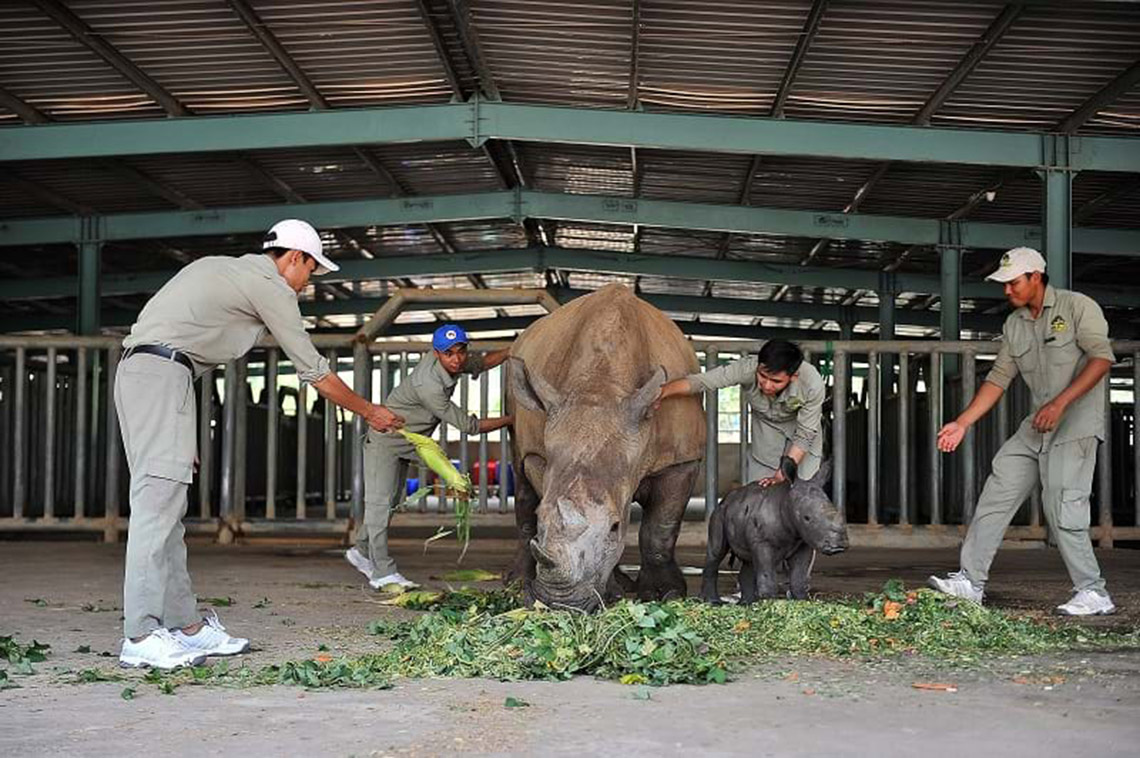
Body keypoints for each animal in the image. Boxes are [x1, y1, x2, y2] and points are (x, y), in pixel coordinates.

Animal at [508, 282, 702, 610]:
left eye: (614, 527)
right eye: (541, 520)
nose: (560, 603)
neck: (601, 387)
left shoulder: (681, 460)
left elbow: (660, 526)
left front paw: (665, 594)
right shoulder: (541, 454)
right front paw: (612, 593)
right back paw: (517, 583)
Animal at [697, 460, 852, 601]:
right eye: (807, 518)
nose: (839, 545)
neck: (786, 503)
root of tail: (725, 499)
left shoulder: (802, 541)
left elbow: (799, 576)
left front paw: (802, 600)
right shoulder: (763, 542)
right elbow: (767, 573)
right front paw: (769, 601)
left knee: (748, 562)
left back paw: (746, 604)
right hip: (719, 513)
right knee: (716, 552)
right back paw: (713, 602)